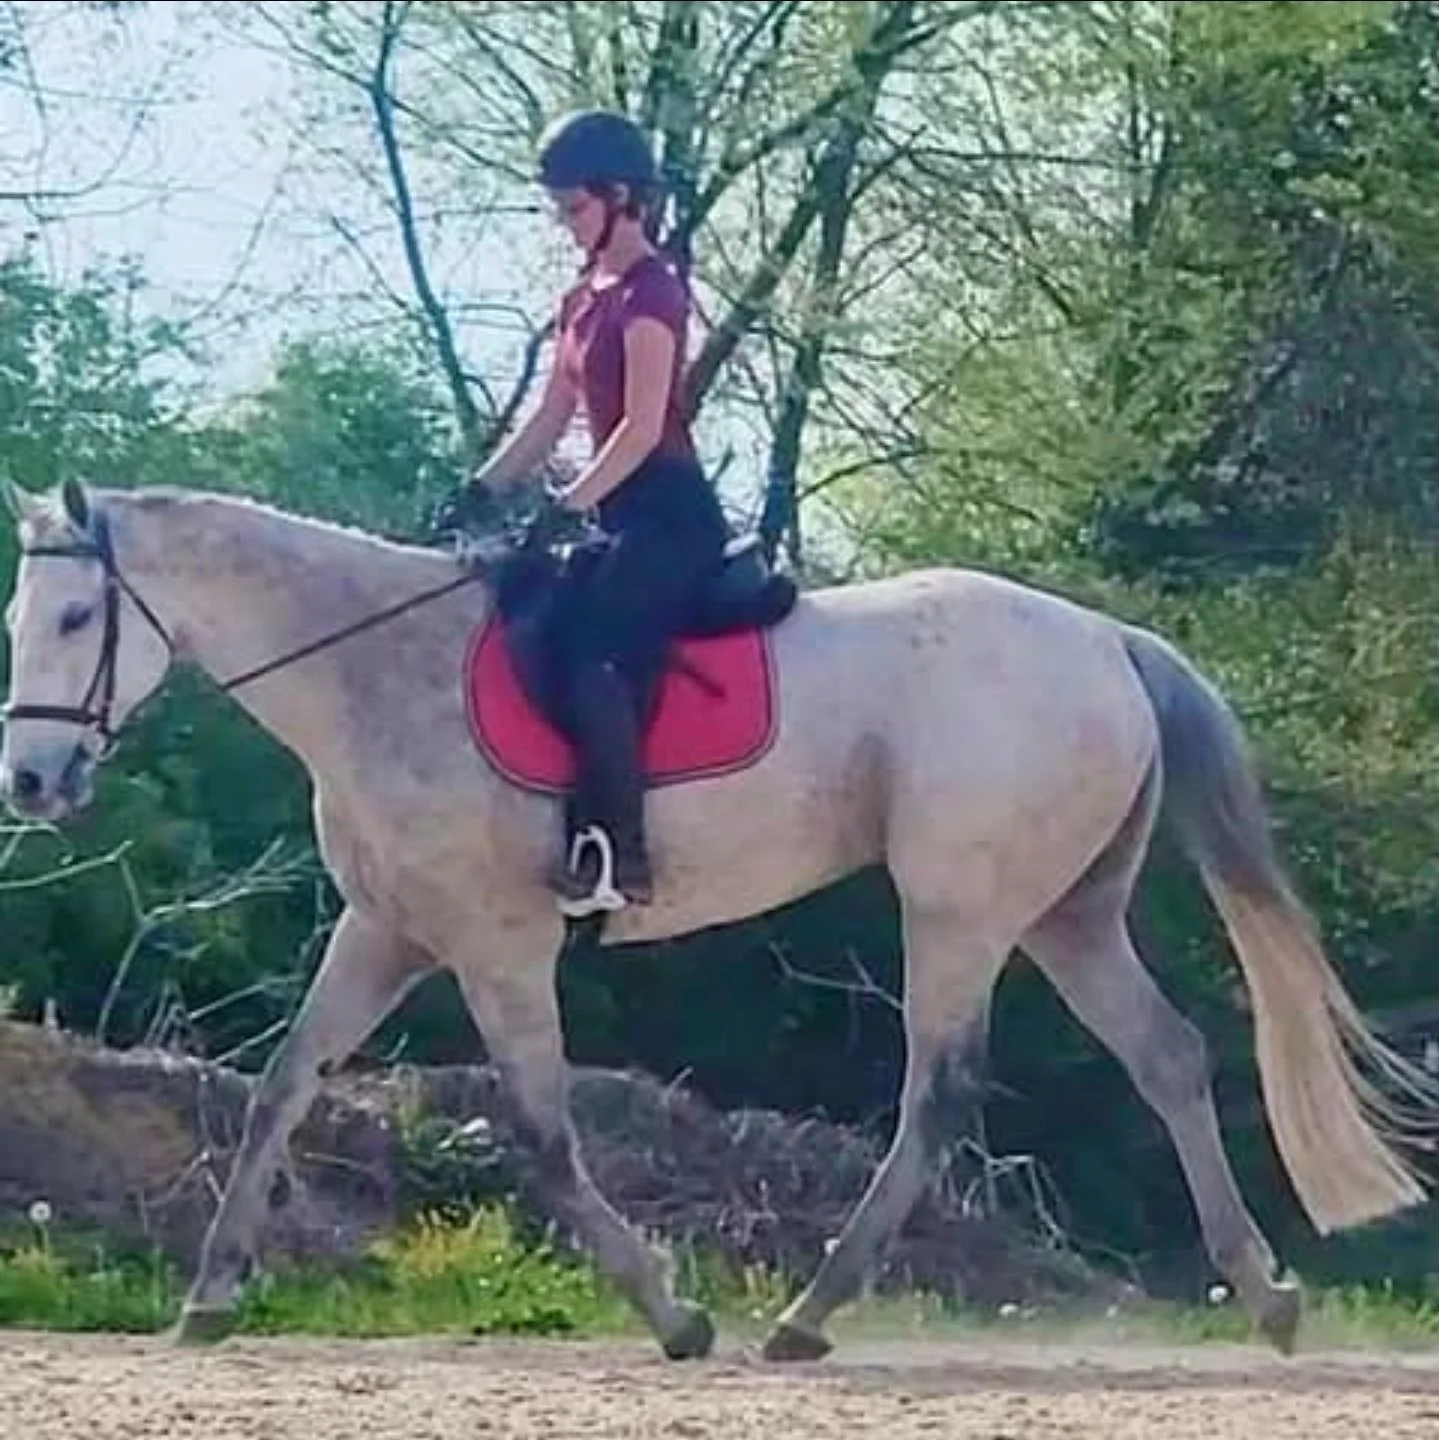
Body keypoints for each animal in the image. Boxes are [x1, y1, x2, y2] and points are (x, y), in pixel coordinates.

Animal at [2, 474, 1435, 1365]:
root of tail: (1105, 640)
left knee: (936, 1095)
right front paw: (207, 1298)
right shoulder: (387, 930)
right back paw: (1264, 1295)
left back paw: (804, 1315)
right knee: (1165, 1057)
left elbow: (544, 1136)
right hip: (1065, 913)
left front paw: (673, 1318)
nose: (30, 784)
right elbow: (280, 1086)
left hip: (957, 908)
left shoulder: (498, 945)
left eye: (74, 614)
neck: (375, 670)